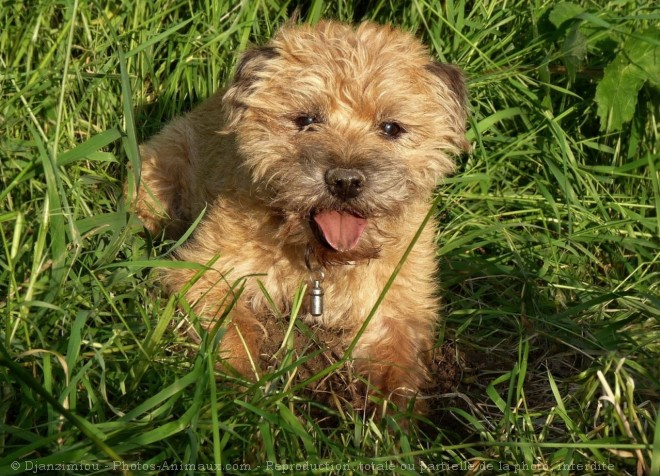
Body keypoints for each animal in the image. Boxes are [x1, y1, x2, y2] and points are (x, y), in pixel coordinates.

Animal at [131, 20, 466, 410]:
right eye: (305, 120)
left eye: (391, 128)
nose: (345, 180)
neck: (319, 262)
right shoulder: (204, 274)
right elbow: (232, 329)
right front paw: (239, 394)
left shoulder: (395, 308)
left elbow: (396, 368)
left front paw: (393, 417)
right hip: (161, 164)